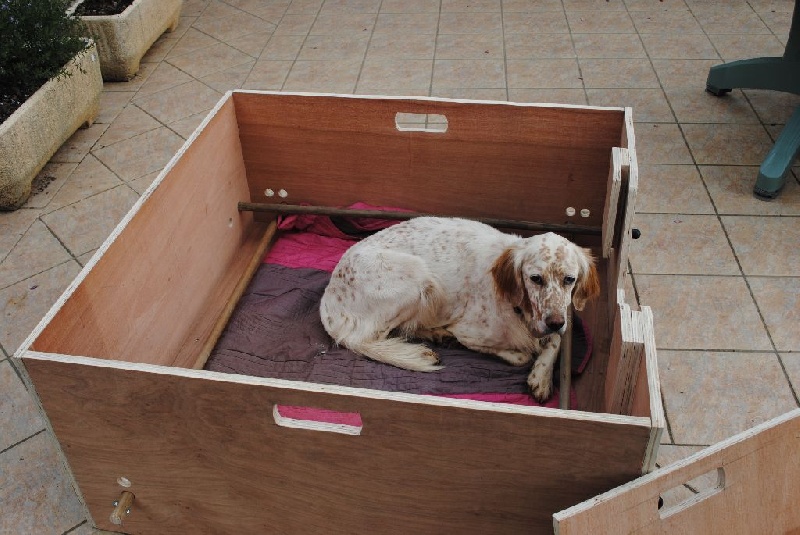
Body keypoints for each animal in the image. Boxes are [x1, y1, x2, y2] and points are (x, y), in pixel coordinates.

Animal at [318, 217, 600, 402]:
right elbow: (520, 355)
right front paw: (523, 358)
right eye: (535, 278)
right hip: (419, 277)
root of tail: (329, 300)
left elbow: (556, 341)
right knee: (374, 337)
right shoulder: (468, 332)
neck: (520, 310)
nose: (555, 321)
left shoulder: (561, 319)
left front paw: (541, 377)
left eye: (569, 279)